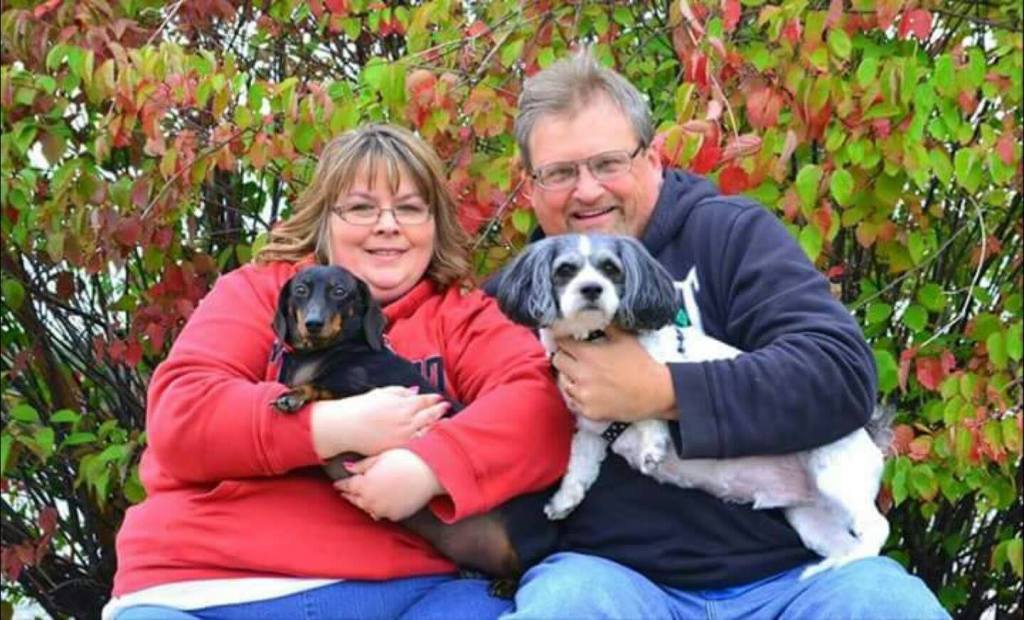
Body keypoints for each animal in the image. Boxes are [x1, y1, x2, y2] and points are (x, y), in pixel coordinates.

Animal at [493, 231, 888, 573]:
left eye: (610, 269)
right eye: (565, 270)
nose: (591, 288)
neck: (593, 339)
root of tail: (868, 432)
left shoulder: (654, 370)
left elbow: (648, 410)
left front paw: (652, 446)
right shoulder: (590, 431)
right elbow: (579, 467)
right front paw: (564, 500)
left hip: (838, 477)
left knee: (877, 528)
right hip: (811, 518)